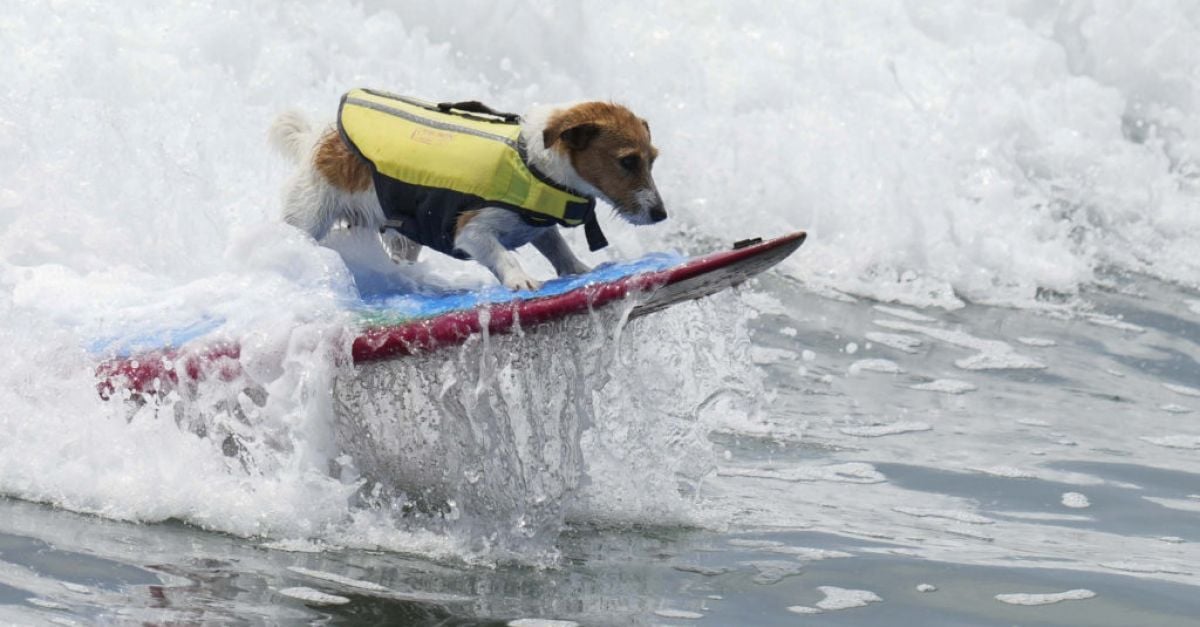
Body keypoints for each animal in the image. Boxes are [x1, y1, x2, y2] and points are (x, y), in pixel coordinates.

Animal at [267, 88, 667, 289]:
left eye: (653, 159)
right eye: (628, 161)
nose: (661, 214)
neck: (532, 163)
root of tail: (320, 139)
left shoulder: (538, 226)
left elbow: (557, 247)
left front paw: (579, 270)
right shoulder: (472, 231)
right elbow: (504, 255)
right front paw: (520, 278)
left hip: (400, 237)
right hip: (309, 216)